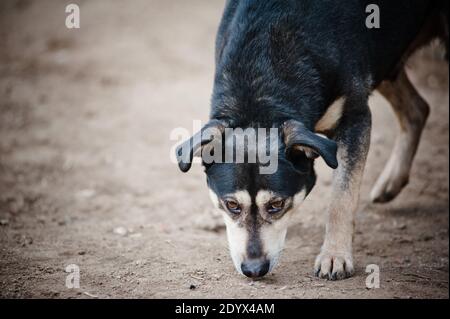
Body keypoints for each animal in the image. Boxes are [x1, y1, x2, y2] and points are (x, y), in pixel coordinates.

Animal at [175, 0, 446, 280]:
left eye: (276, 204)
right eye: (231, 205)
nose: (254, 270)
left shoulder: (356, 117)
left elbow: (342, 196)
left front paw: (335, 255)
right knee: (418, 108)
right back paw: (391, 181)